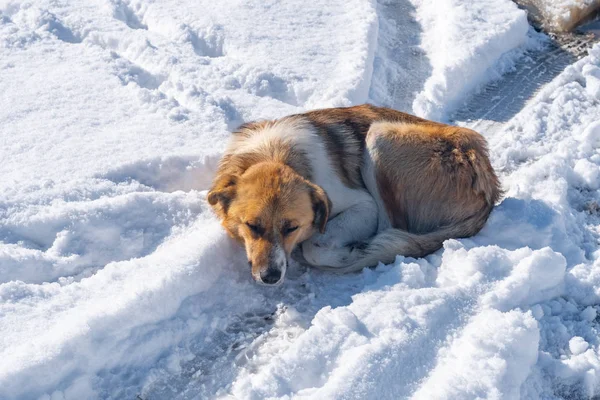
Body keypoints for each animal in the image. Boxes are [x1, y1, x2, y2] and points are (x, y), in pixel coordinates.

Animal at [207, 103, 502, 284]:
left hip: (380, 136)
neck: (275, 154)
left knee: (394, 230)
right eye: (252, 226)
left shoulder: (363, 206)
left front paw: (342, 252)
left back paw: (365, 248)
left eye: (291, 228)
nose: (270, 276)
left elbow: (316, 246)